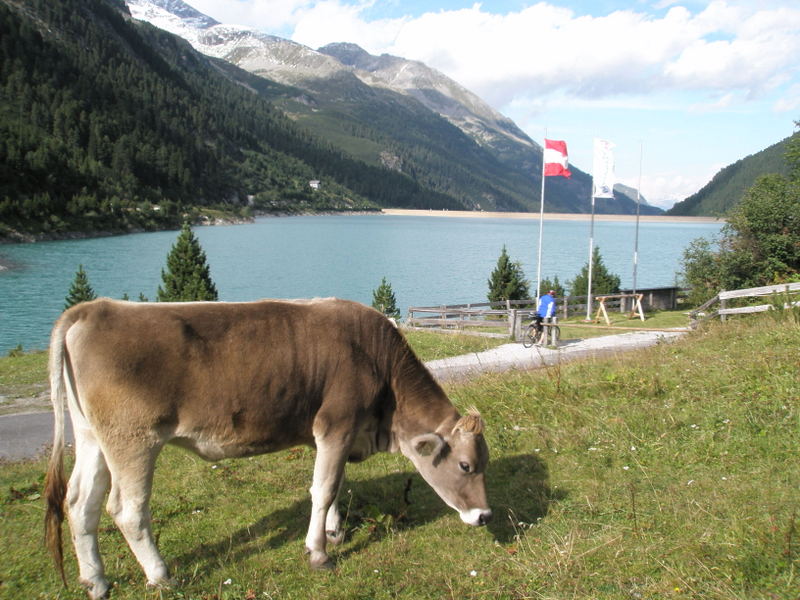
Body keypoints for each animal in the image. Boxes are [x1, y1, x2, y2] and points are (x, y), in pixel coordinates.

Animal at [45, 298, 491, 599]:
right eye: (466, 466)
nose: (485, 516)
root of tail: (95, 308)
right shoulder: (337, 423)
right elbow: (324, 489)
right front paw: (318, 552)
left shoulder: (335, 433)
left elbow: (333, 485)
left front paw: (334, 531)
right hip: (134, 439)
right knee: (127, 509)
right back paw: (160, 575)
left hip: (92, 437)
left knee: (80, 502)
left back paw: (95, 580)